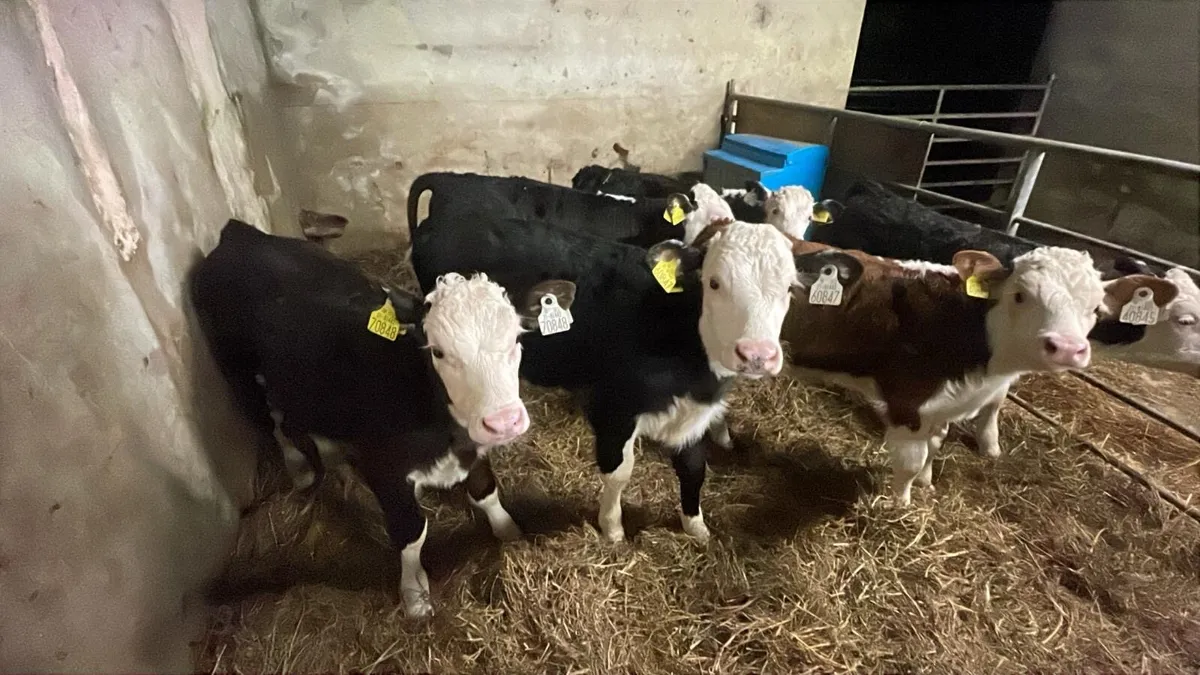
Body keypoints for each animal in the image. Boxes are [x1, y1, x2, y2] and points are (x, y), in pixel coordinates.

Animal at [190, 219, 575, 618]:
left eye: (516, 339)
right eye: (438, 351)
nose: (503, 421)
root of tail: (239, 233)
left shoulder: (475, 447)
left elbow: (485, 492)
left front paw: (509, 533)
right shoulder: (384, 467)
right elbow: (411, 533)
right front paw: (415, 595)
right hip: (238, 372)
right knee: (271, 422)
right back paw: (300, 469)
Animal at [409, 208, 801, 543]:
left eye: (789, 288)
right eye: (714, 283)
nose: (757, 354)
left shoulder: (694, 414)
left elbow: (693, 468)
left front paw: (697, 528)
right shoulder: (612, 408)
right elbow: (619, 470)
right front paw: (612, 529)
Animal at [765, 240, 1172, 505]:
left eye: (1096, 308)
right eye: (1020, 295)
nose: (1068, 347)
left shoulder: (943, 405)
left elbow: (935, 445)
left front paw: (927, 483)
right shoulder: (908, 401)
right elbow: (910, 462)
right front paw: (902, 506)